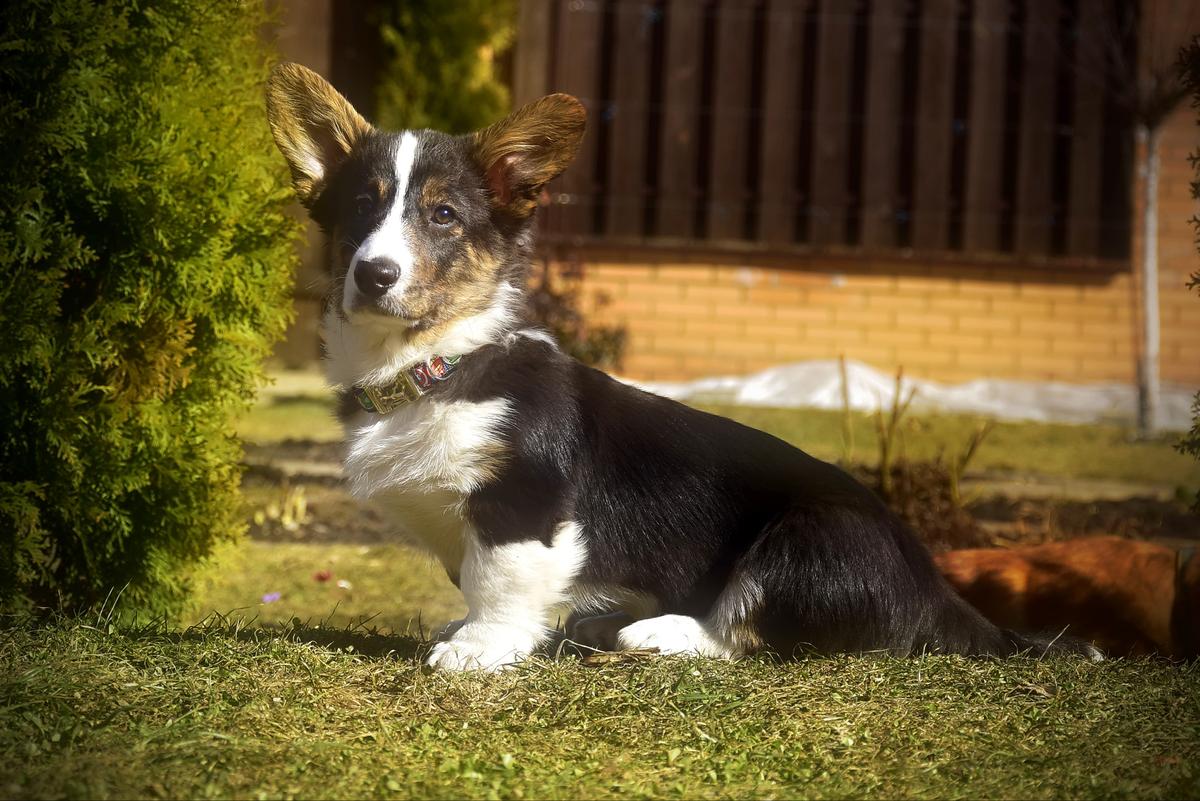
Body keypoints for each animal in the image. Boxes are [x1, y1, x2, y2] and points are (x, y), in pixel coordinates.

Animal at [267, 62, 1099, 671]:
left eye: (443, 215)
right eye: (361, 208)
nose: (374, 274)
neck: (434, 363)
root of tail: (935, 587)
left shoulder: (522, 502)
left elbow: (498, 578)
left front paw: (477, 647)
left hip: (811, 538)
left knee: (751, 629)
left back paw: (658, 631)